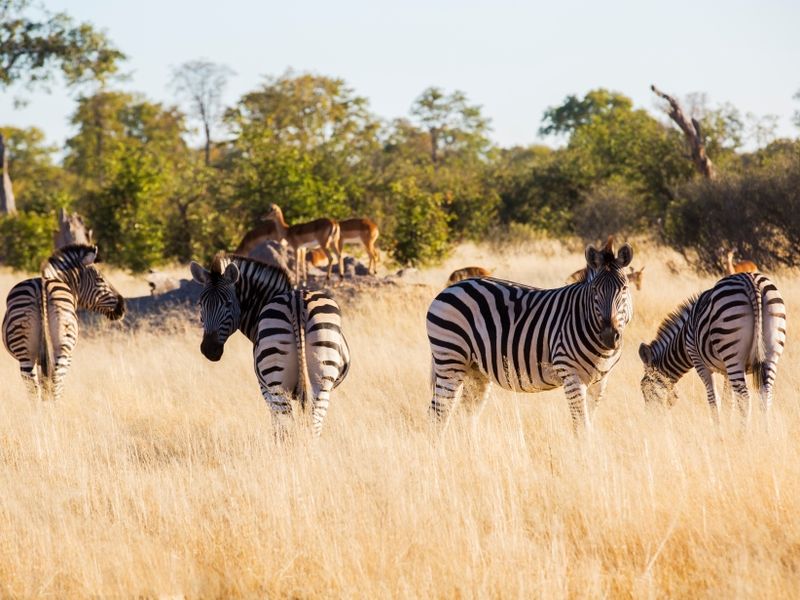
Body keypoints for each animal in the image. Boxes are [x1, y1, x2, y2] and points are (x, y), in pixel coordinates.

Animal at [1, 244, 125, 404]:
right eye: (100, 279)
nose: (122, 307)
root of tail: (40, 287)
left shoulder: (41, 359)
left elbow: (43, 384)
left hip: (26, 352)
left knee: (34, 389)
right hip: (63, 349)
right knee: (55, 384)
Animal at [191, 251, 350, 438]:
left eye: (228, 304)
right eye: (200, 304)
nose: (209, 350)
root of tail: (297, 302)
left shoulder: (265, 389)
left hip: (279, 384)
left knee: (288, 428)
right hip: (318, 382)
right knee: (310, 426)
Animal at [428, 237, 636, 428]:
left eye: (624, 288)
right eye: (594, 290)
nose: (609, 336)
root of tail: (450, 288)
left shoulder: (600, 382)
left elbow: (588, 424)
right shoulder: (571, 375)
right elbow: (581, 426)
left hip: (475, 369)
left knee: (465, 415)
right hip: (450, 359)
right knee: (438, 413)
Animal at [636, 272, 788, 422]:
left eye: (644, 388)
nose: (649, 419)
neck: (683, 338)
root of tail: (750, 280)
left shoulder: (699, 362)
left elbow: (713, 400)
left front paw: (719, 428)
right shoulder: (727, 372)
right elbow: (728, 402)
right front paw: (728, 425)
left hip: (732, 354)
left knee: (744, 397)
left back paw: (744, 430)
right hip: (771, 353)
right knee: (765, 395)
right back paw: (764, 429)